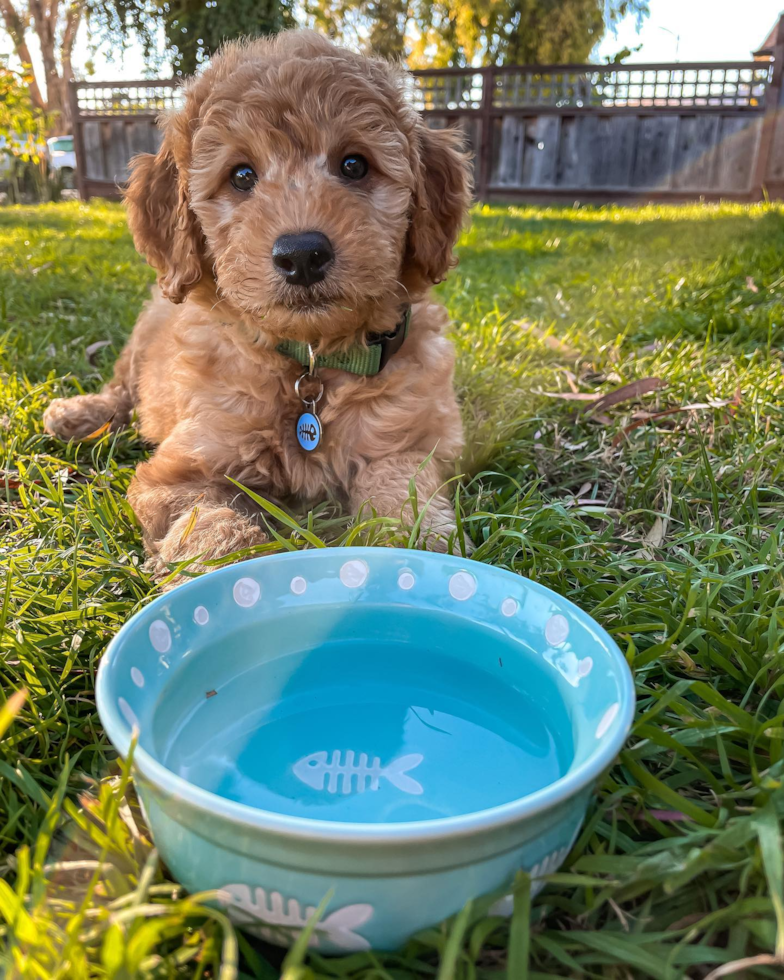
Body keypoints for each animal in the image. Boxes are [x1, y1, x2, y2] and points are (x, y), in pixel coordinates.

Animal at [44, 32, 472, 576]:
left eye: (354, 165)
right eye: (242, 175)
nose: (302, 254)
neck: (309, 363)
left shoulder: (409, 438)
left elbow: (404, 487)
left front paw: (413, 549)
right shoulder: (180, 470)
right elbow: (208, 524)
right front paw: (233, 571)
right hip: (138, 343)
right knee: (121, 389)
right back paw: (78, 414)